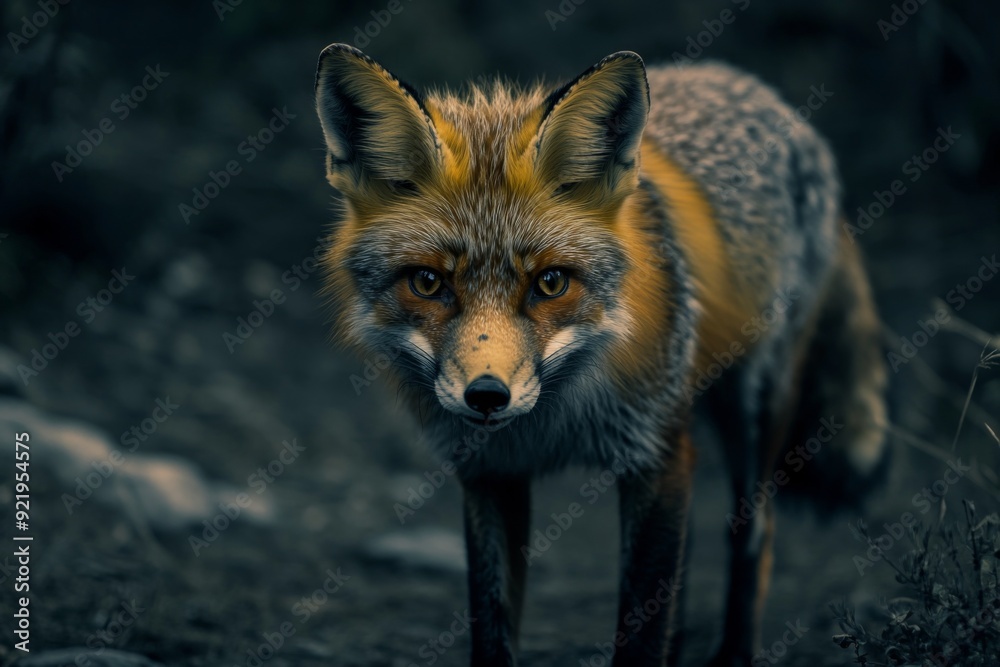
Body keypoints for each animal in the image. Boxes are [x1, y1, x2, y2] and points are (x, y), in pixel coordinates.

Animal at [313, 44, 889, 667]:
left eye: (550, 283)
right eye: (427, 283)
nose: (487, 396)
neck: (554, 421)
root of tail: (768, 97)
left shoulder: (655, 454)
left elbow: (641, 630)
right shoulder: (490, 474)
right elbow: (493, 628)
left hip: (752, 409)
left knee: (752, 535)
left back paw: (734, 653)